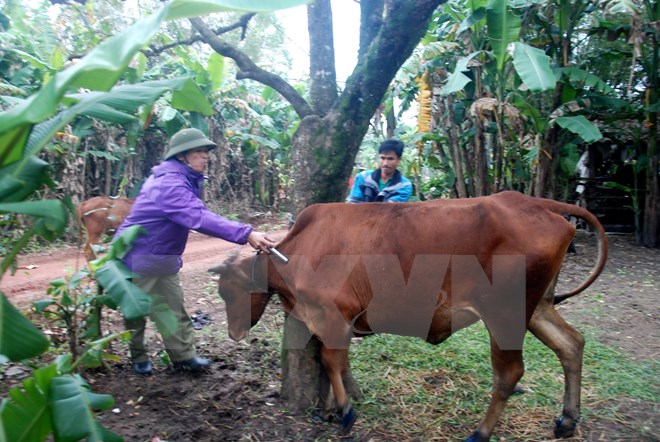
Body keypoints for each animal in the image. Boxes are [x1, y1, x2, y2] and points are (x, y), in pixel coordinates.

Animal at [210, 192, 608, 440]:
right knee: (571, 344)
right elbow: (337, 362)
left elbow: (330, 360)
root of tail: (531, 201)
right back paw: (567, 419)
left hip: (504, 314)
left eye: (229, 291)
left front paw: (345, 411)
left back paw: (480, 433)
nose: (234, 333)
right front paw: (337, 406)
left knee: (509, 373)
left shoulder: (335, 315)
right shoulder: (337, 322)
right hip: (536, 307)